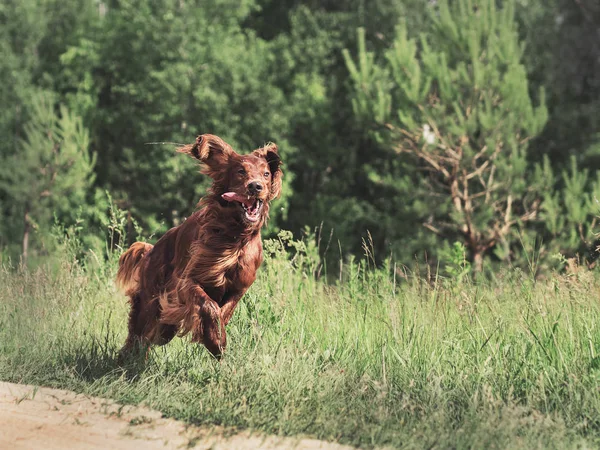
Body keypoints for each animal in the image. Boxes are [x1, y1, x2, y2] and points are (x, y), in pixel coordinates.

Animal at [116, 132, 282, 356]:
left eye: (266, 174)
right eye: (240, 171)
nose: (255, 187)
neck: (234, 236)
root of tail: (151, 249)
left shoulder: (240, 286)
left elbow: (224, 310)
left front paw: (215, 336)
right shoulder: (187, 280)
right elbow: (209, 305)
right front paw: (215, 341)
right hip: (150, 299)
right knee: (139, 334)